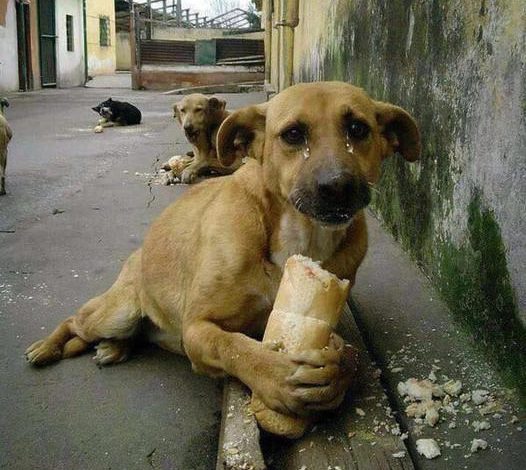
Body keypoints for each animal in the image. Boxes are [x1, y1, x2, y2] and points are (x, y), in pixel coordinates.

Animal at [26, 81, 422, 418]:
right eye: (293, 134)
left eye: (358, 129)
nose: (338, 186)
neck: (298, 236)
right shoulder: (197, 328)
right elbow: (233, 347)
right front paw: (275, 375)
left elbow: (348, 355)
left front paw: (336, 374)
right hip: (116, 312)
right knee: (74, 320)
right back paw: (46, 348)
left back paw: (114, 348)